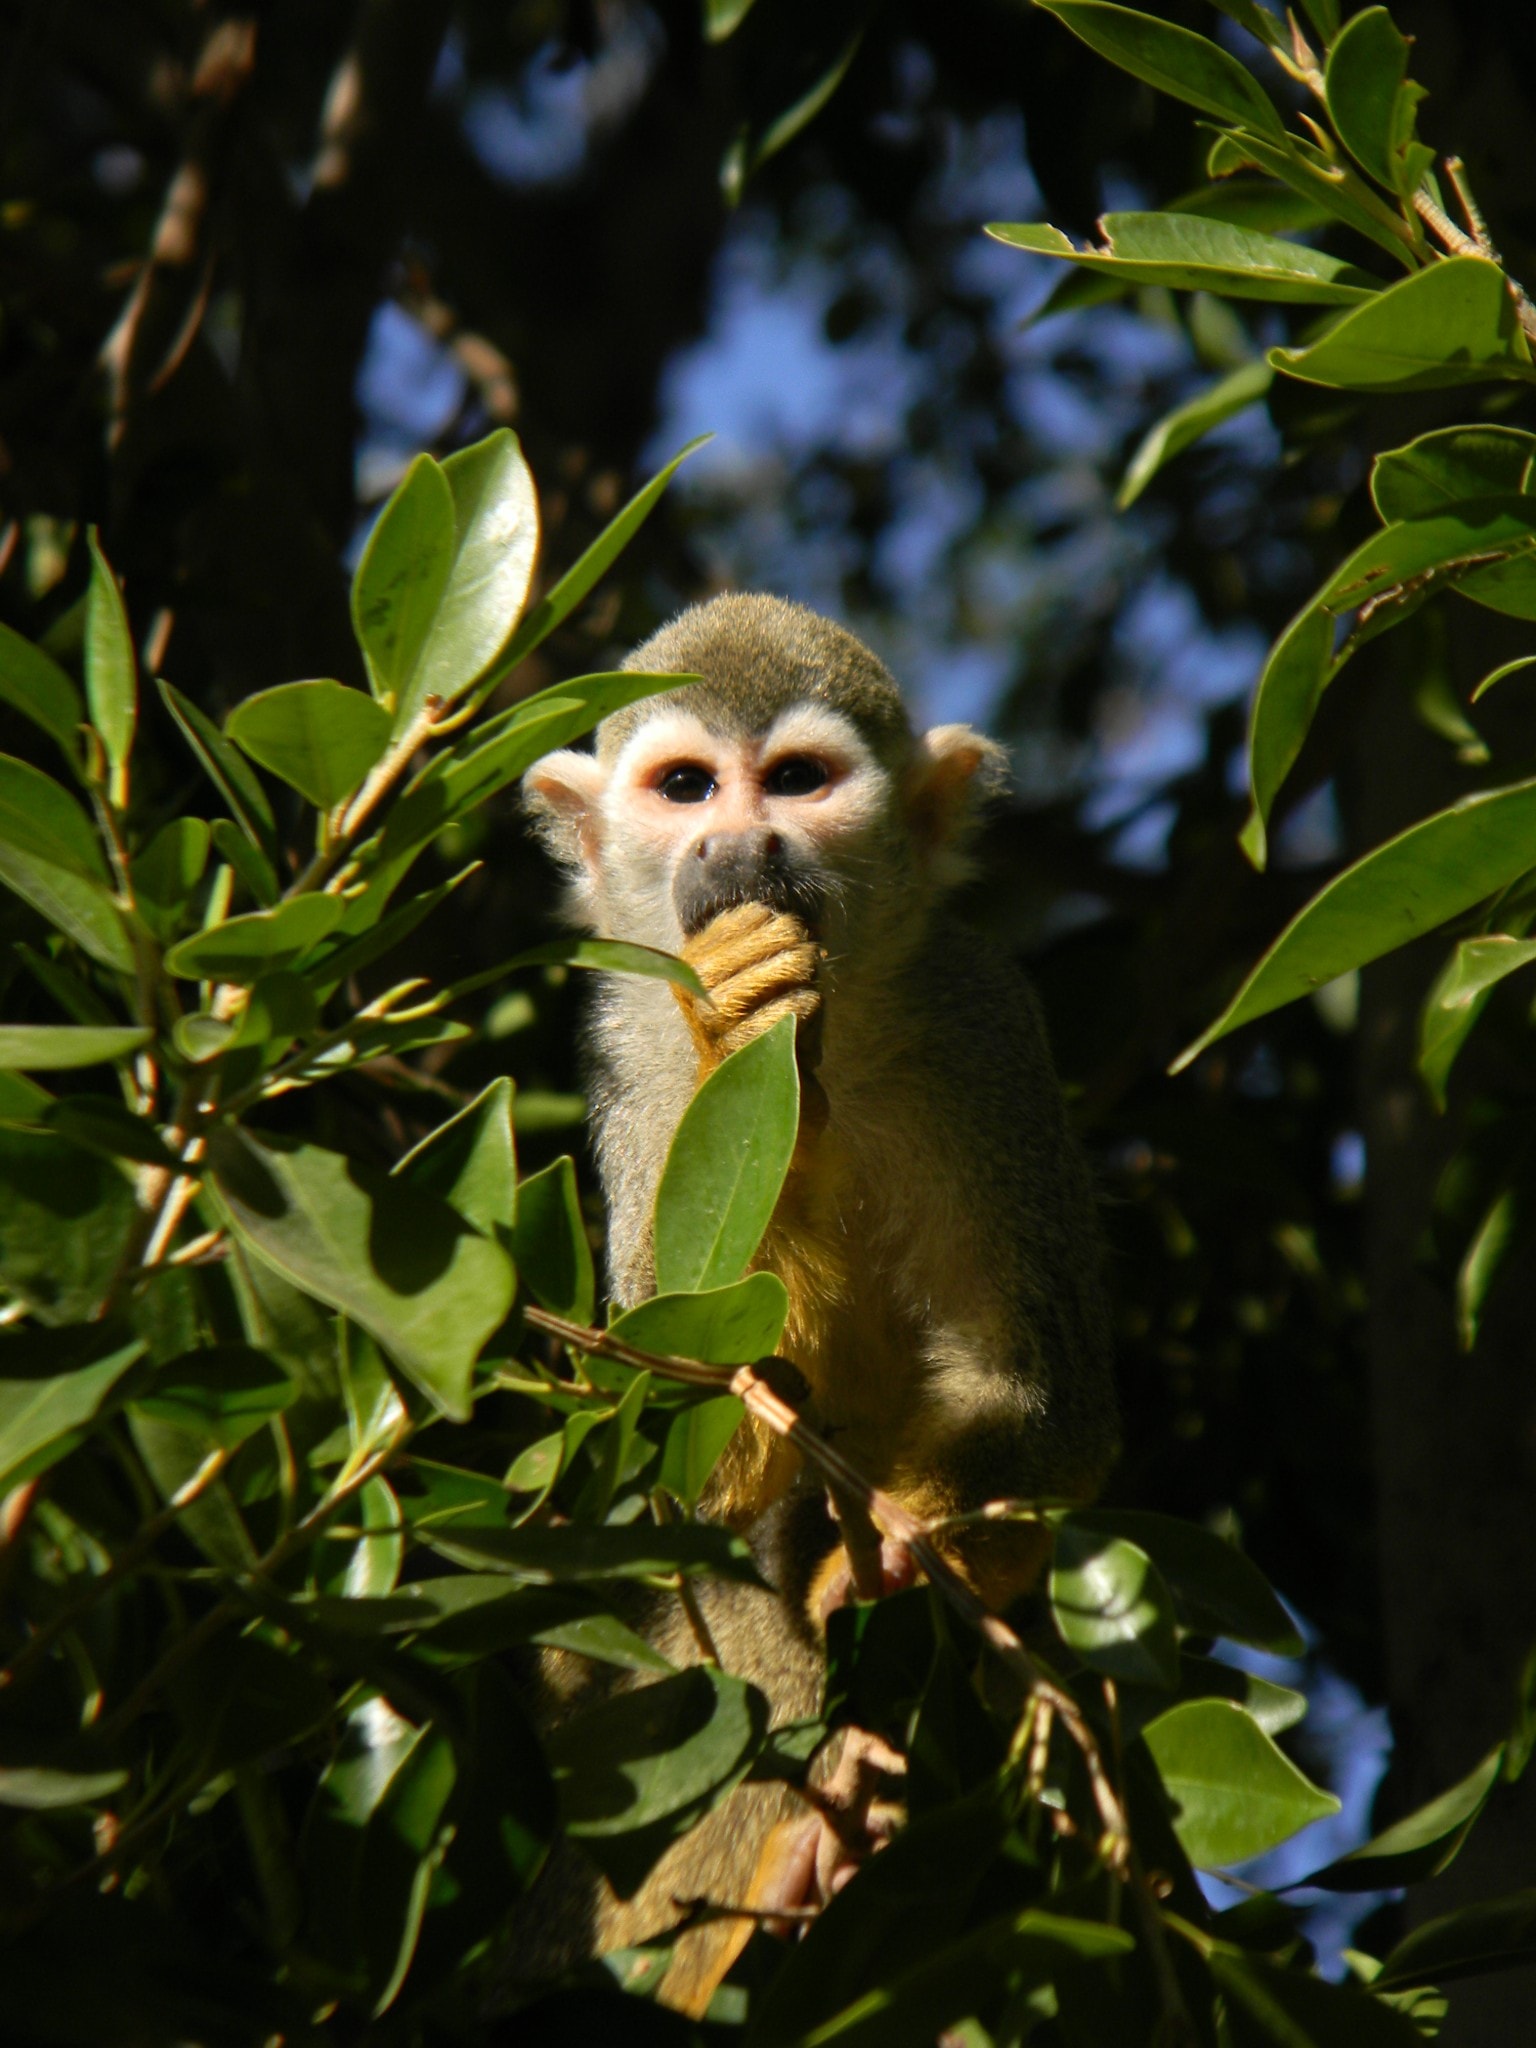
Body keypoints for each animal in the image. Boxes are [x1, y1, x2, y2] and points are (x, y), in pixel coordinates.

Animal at [514, 594, 1116, 2012]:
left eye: (796, 779)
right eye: (687, 788)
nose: (742, 841)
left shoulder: (982, 1021)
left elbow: (1049, 1399)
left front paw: (907, 1542)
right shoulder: (629, 1052)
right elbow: (680, 1451)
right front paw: (744, 1026)